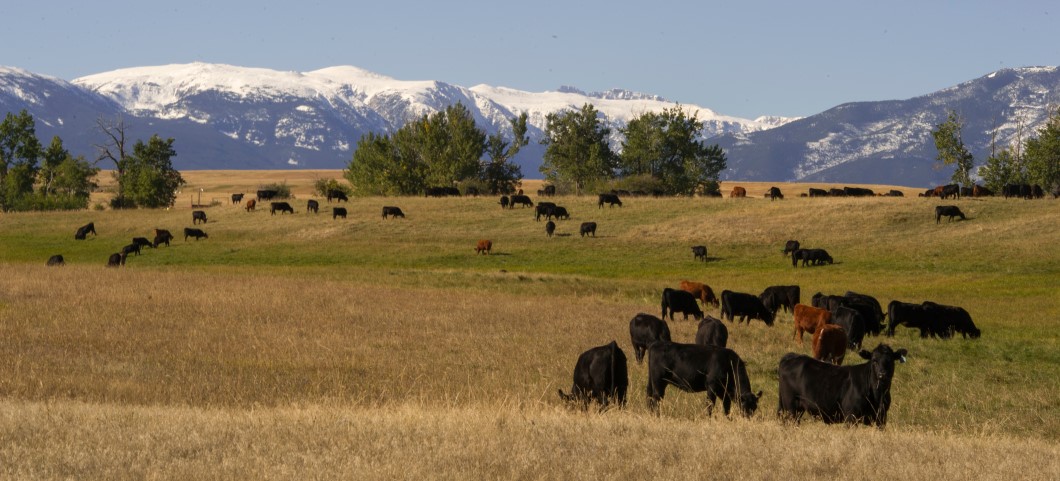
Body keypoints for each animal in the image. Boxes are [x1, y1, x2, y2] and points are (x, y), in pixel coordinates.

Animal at [775, 343, 907, 425]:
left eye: (890, 361)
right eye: (874, 360)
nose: (882, 374)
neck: (877, 395)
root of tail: (792, 356)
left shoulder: (881, 417)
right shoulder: (850, 416)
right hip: (790, 407)